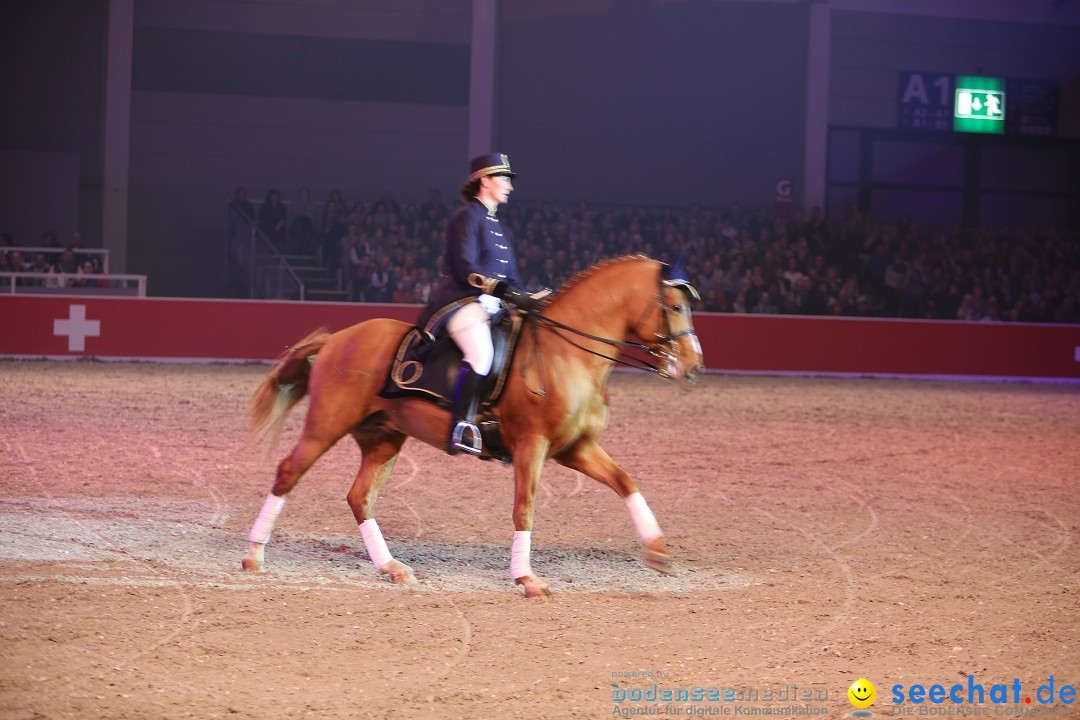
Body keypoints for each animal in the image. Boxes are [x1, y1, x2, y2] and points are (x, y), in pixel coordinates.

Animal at [240, 253, 704, 595]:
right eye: (675, 307)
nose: (695, 367)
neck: (567, 355)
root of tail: (337, 338)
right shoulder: (532, 444)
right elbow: (525, 505)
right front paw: (527, 578)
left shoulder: (576, 448)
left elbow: (626, 482)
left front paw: (657, 551)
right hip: (326, 426)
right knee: (288, 473)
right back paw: (254, 556)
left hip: (383, 437)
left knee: (360, 497)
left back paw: (391, 567)